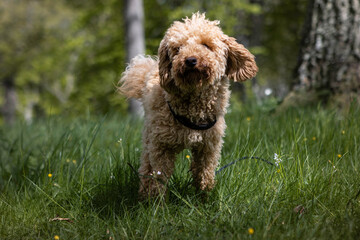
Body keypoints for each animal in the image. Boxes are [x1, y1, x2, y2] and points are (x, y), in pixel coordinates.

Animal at [119, 11, 258, 199]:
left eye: (206, 45)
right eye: (178, 49)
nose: (190, 60)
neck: (194, 104)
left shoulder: (208, 147)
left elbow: (204, 173)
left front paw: (205, 196)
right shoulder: (161, 147)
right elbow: (159, 176)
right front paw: (157, 202)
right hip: (150, 137)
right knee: (146, 166)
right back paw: (144, 194)